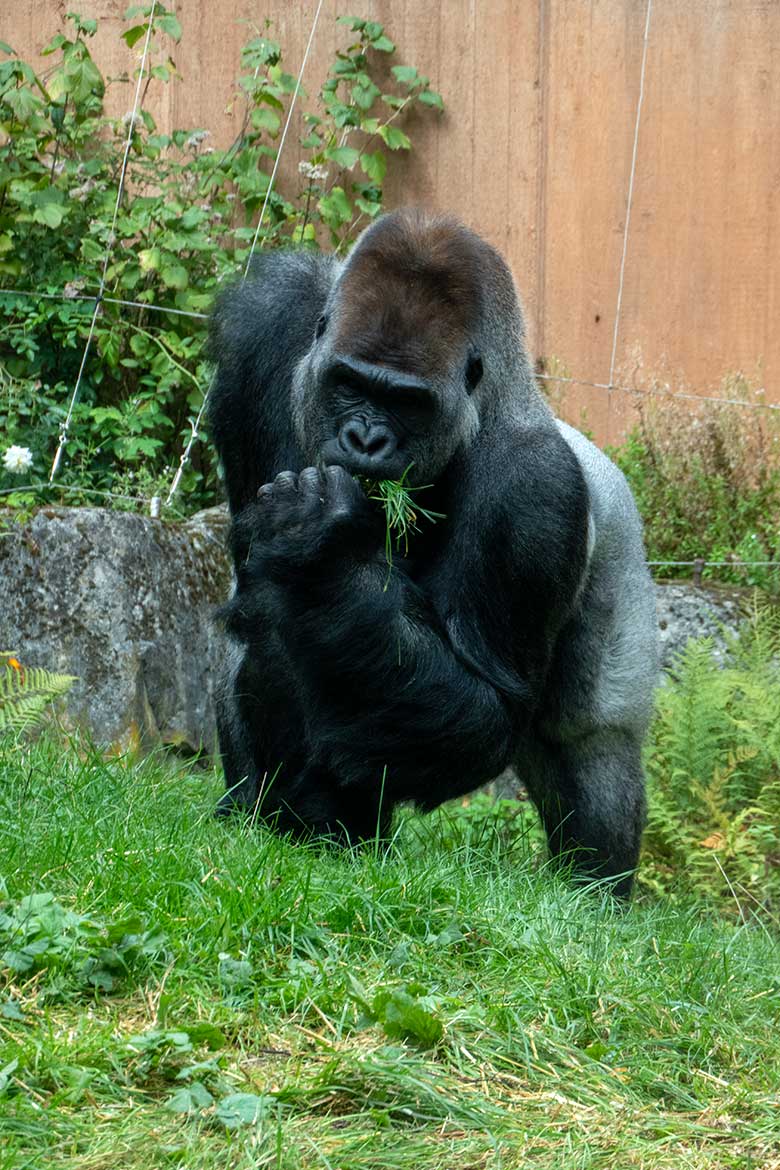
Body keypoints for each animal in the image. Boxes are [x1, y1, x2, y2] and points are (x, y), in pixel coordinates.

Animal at [206, 208, 659, 893]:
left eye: (407, 401)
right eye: (349, 383)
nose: (364, 439)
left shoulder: (535, 488)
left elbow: (484, 711)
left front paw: (321, 553)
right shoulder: (271, 320)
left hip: (621, 569)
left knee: (590, 747)